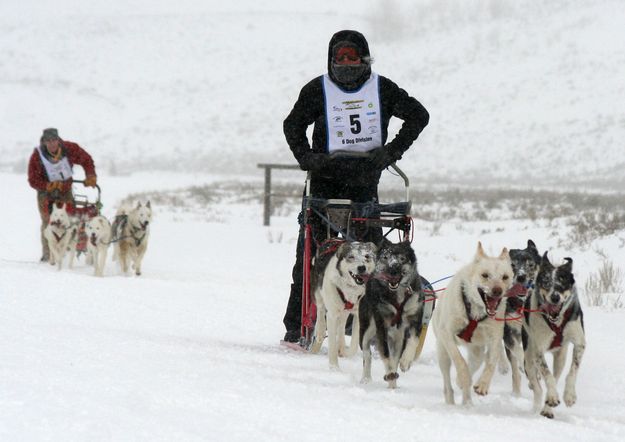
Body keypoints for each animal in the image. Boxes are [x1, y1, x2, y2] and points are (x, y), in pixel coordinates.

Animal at [308, 240, 376, 368]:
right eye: (351, 257)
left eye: (367, 256)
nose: (362, 267)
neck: (351, 289)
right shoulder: (332, 314)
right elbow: (332, 344)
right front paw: (334, 367)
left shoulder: (359, 314)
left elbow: (354, 344)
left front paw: (344, 351)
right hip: (317, 290)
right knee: (320, 309)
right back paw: (320, 331)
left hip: (344, 311)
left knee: (341, 326)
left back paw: (341, 345)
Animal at [356, 240, 424, 388]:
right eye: (385, 257)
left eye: (402, 258)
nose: (393, 270)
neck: (398, 296)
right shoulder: (381, 325)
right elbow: (385, 353)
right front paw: (390, 374)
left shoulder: (415, 318)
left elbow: (413, 341)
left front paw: (406, 361)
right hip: (367, 329)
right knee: (367, 353)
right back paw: (367, 378)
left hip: (398, 336)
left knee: (395, 356)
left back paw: (393, 384)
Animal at [428, 243, 512, 406]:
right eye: (485, 275)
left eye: (505, 277)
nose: (497, 291)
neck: (476, 313)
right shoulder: (447, 334)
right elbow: (459, 360)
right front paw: (463, 377)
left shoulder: (494, 337)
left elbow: (492, 362)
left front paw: (483, 384)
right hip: (443, 352)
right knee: (448, 381)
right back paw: (452, 398)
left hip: (476, 352)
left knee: (475, 365)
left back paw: (467, 403)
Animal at [520, 252, 584, 418]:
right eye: (546, 282)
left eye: (563, 282)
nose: (555, 297)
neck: (556, 322)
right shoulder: (538, 350)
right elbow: (547, 375)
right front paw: (553, 397)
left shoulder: (579, 343)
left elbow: (572, 371)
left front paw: (569, 395)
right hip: (529, 358)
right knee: (538, 387)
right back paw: (540, 404)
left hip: (560, 356)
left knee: (556, 375)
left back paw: (547, 408)